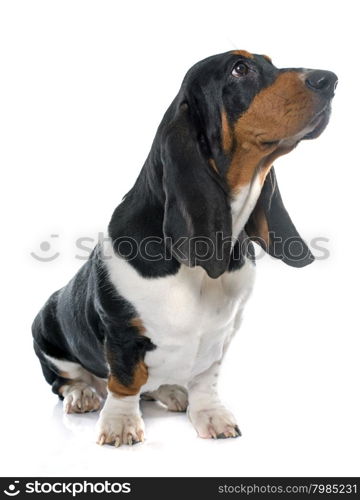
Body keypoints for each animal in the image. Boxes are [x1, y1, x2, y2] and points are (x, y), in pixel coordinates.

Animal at [32, 50, 336, 446]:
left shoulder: (221, 335)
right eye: (240, 69)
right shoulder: (121, 333)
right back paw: (83, 394)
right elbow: (125, 381)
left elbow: (206, 380)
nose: (330, 79)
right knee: (68, 380)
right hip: (46, 328)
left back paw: (172, 392)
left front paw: (210, 416)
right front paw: (120, 425)